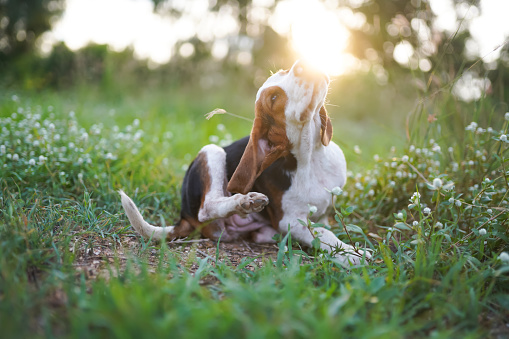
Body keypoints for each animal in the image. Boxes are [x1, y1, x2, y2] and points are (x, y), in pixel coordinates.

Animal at [121, 60, 372, 266]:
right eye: (273, 98)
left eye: (285, 70)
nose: (302, 64)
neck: (310, 158)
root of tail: (184, 215)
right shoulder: (290, 221)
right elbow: (322, 233)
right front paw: (350, 254)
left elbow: (324, 225)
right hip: (212, 151)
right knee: (207, 208)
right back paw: (244, 201)